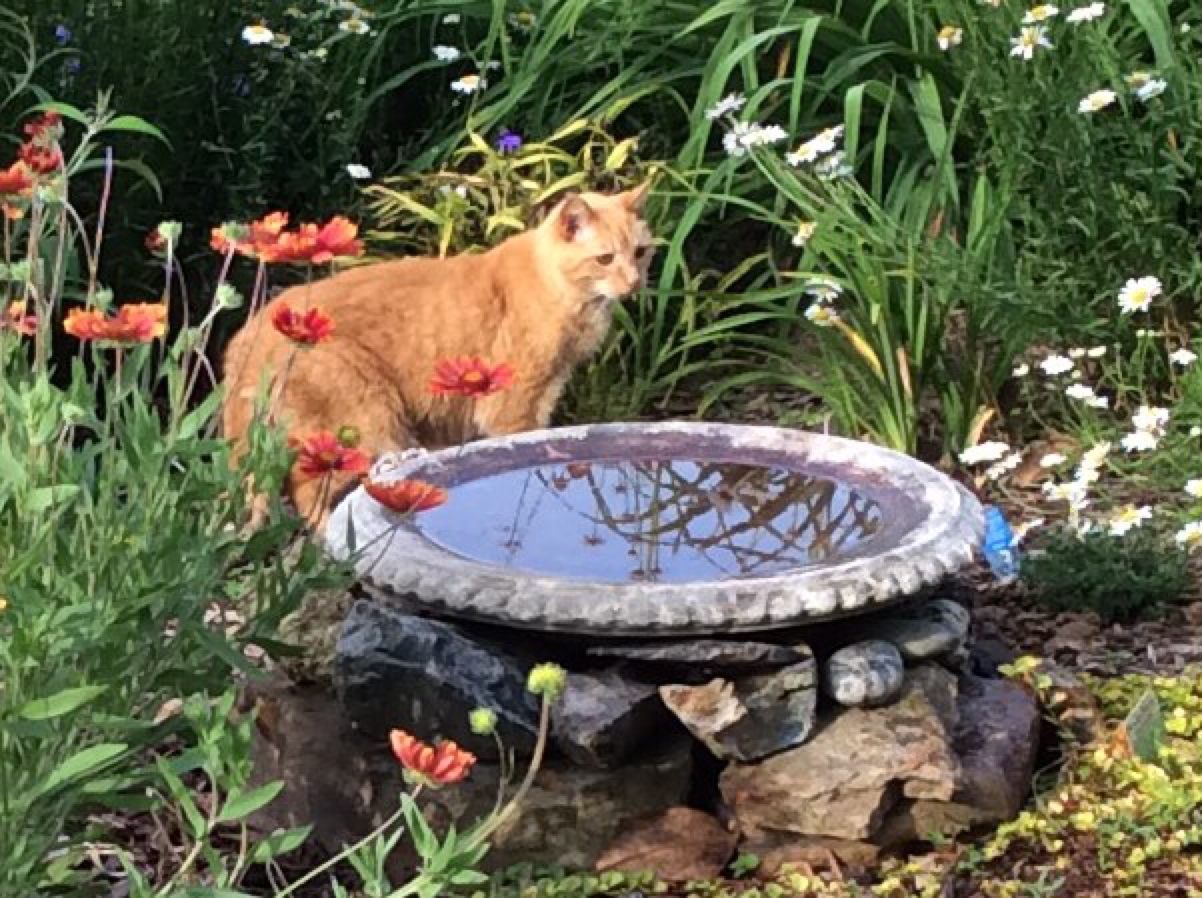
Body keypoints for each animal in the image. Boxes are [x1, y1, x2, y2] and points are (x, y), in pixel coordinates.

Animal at [221, 184, 654, 530]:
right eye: (605, 258)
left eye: (641, 252)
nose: (636, 283)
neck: (562, 292)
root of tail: (246, 339)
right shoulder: (515, 407)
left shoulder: (544, 397)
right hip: (364, 422)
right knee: (307, 493)